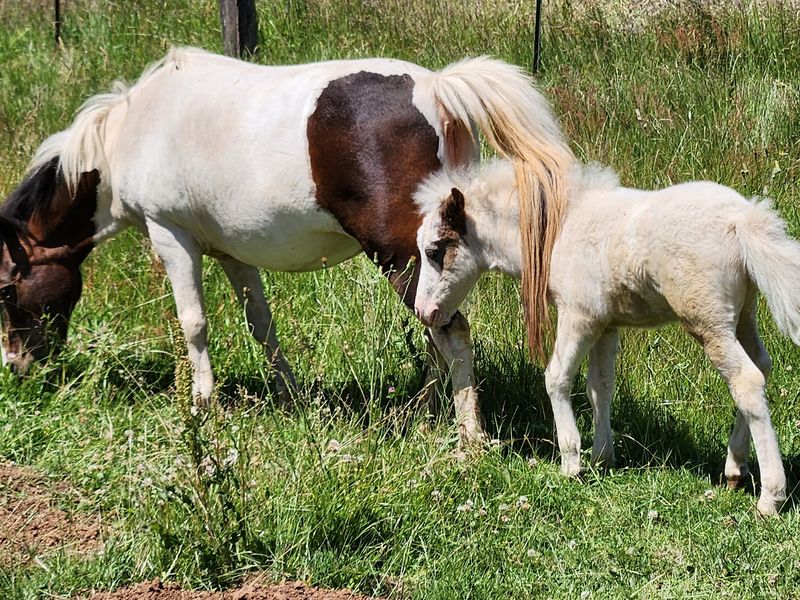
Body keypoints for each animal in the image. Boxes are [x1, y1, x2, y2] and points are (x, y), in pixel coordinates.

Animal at [0, 48, 573, 447]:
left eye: (6, 289)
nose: (17, 368)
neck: (131, 129)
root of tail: (437, 88)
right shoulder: (231, 254)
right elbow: (261, 324)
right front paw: (289, 396)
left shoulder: (171, 235)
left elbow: (194, 323)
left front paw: (203, 406)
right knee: (438, 328)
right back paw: (430, 410)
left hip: (409, 256)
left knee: (449, 331)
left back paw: (468, 434)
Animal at [412, 158, 800, 514]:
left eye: (434, 251)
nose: (423, 312)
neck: (560, 229)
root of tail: (742, 219)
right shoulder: (606, 324)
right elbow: (600, 387)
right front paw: (602, 458)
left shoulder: (578, 315)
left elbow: (556, 377)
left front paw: (571, 462)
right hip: (743, 314)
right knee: (762, 366)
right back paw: (735, 469)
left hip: (709, 321)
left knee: (746, 380)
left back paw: (770, 497)